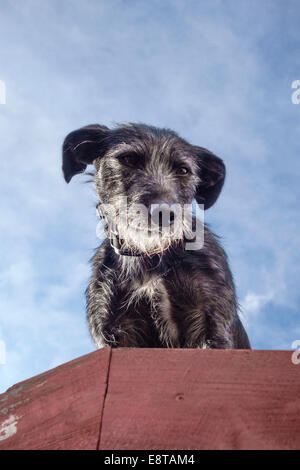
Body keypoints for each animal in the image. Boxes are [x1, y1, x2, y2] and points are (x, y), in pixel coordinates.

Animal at [61, 121, 251, 348]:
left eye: (183, 170)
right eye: (128, 159)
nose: (164, 213)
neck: (149, 256)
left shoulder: (212, 323)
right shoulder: (115, 331)